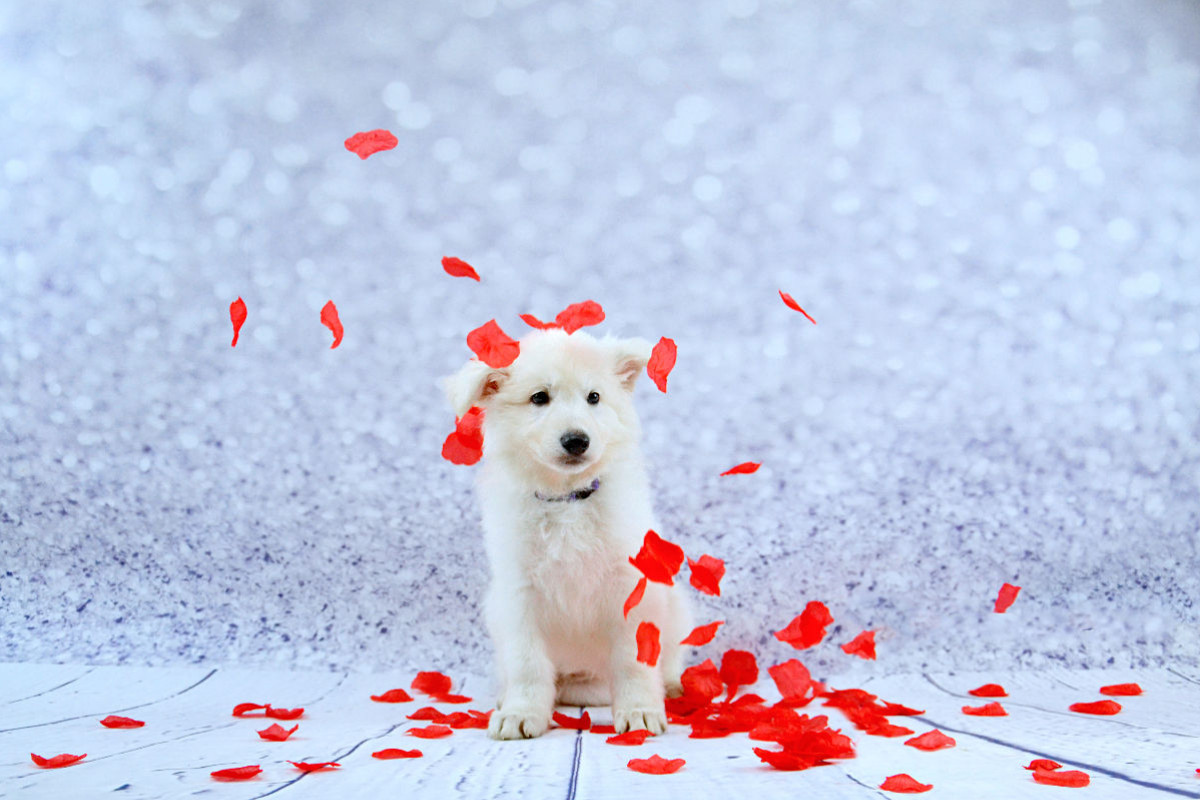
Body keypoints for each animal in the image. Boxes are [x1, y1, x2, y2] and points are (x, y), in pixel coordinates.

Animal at [444, 328, 691, 743]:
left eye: (594, 397)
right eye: (539, 398)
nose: (577, 440)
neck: (567, 501)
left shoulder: (631, 586)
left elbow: (633, 660)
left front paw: (639, 711)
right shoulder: (519, 592)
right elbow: (527, 662)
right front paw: (520, 713)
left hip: (674, 602)